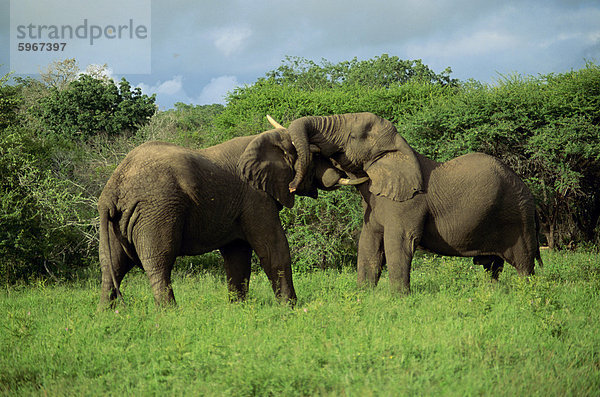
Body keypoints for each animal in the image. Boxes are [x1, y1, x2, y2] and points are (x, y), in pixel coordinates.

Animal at [98, 127, 364, 306]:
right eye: (317, 156)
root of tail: (113, 188)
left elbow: (238, 256)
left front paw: (239, 309)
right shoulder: (255, 196)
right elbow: (273, 249)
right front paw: (290, 308)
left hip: (118, 221)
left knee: (112, 265)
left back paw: (106, 314)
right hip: (156, 210)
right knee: (158, 261)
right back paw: (170, 313)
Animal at [272, 112, 544, 294]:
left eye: (354, 136)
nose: (292, 186)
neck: (398, 148)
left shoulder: (407, 204)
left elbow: (398, 243)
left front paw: (398, 298)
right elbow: (368, 244)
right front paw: (364, 294)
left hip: (517, 215)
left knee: (524, 263)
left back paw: (527, 292)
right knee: (493, 267)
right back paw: (491, 292)